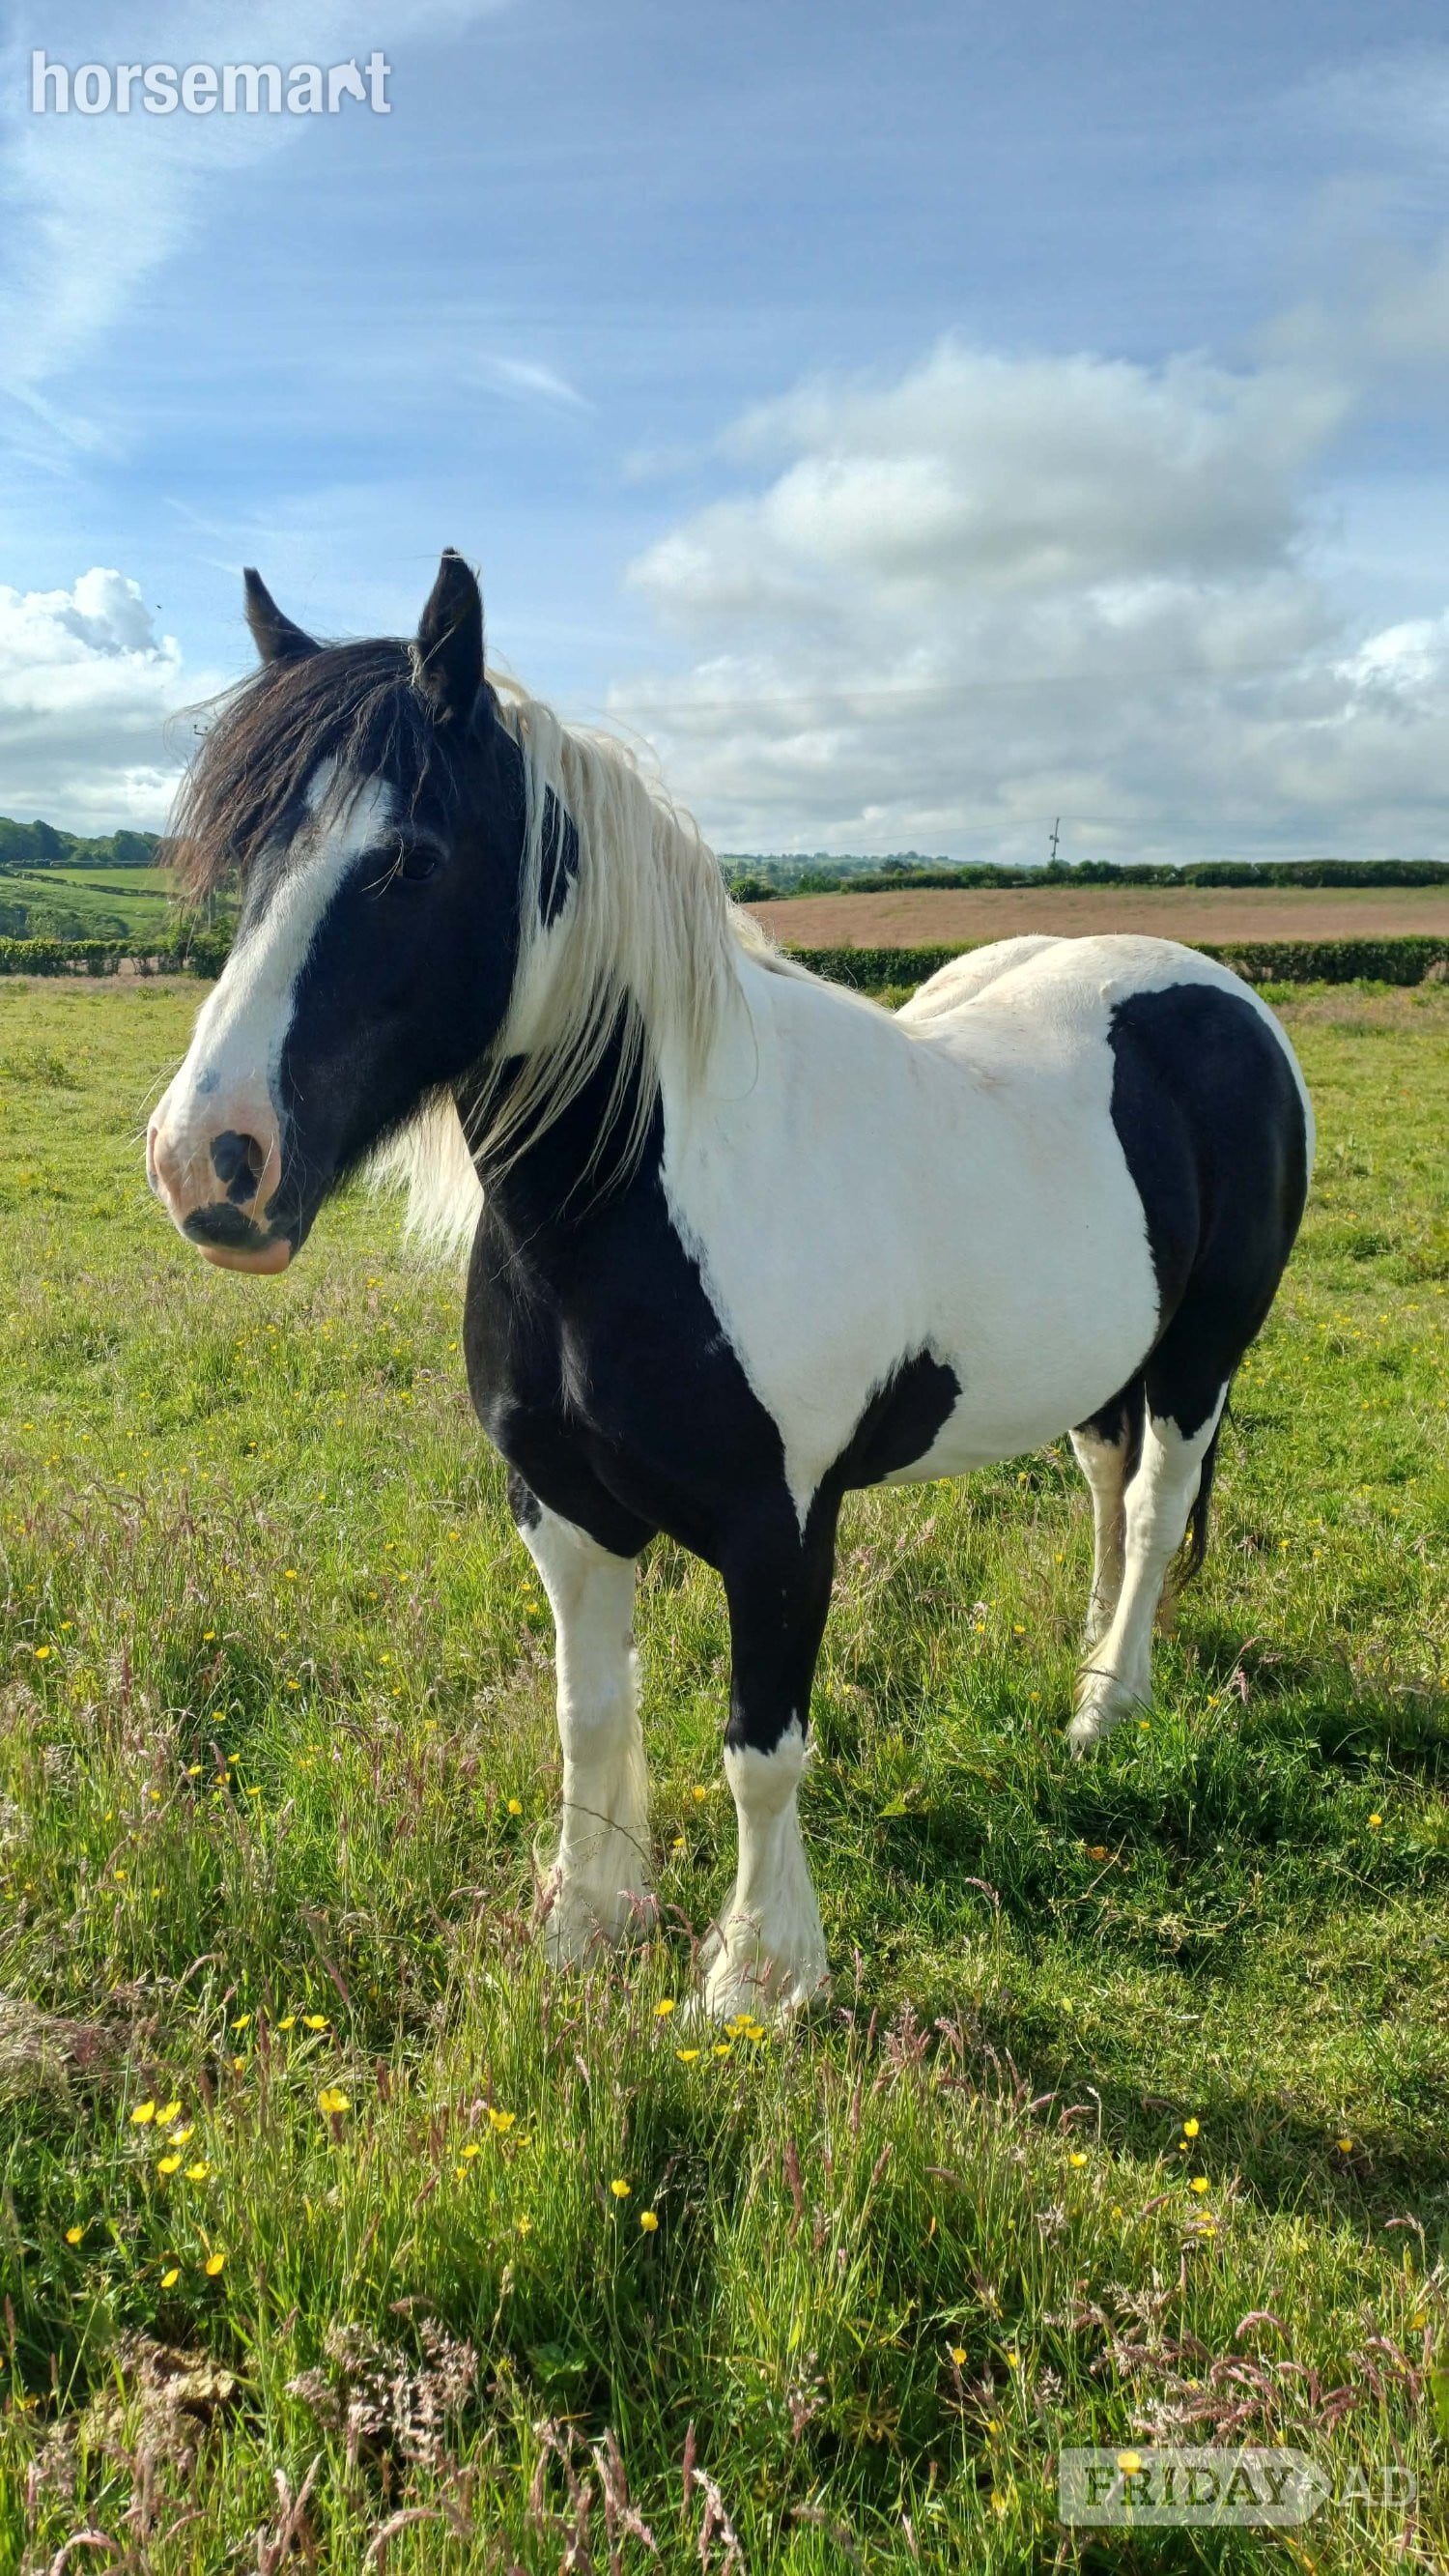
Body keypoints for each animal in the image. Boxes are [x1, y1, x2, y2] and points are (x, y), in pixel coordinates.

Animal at [147, 550, 1314, 2019]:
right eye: (247, 857)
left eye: (409, 860)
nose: (208, 1160)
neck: (644, 1203)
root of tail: (1221, 994)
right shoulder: (562, 1507)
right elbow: (589, 1714)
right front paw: (586, 1927)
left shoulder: (784, 1529)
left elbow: (763, 1749)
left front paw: (758, 1978)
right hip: (1108, 1359)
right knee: (1109, 1491)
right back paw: (1098, 1660)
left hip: (1202, 1354)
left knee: (1158, 1505)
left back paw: (1107, 1709)